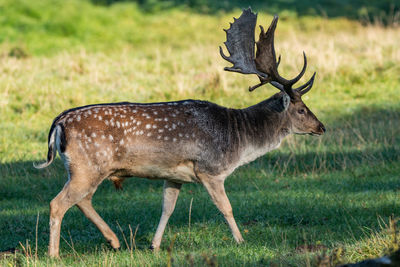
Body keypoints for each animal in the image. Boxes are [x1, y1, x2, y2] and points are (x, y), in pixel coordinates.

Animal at [32, 8, 324, 260]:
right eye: (301, 108)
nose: (321, 127)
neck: (238, 138)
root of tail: (59, 122)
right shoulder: (210, 169)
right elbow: (226, 207)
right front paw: (241, 241)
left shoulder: (173, 176)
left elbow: (167, 209)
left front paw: (154, 245)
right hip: (88, 165)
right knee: (58, 203)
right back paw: (54, 254)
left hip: (85, 168)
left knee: (83, 200)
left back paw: (114, 241)